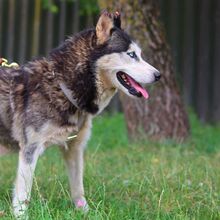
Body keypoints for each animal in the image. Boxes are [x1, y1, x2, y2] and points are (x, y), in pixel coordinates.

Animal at [0, 11, 160, 217]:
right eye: (131, 55)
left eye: (140, 55)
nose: (158, 75)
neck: (61, 86)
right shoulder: (30, 149)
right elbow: (23, 193)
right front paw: (21, 215)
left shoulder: (75, 148)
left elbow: (78, 188)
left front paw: (85, 212)